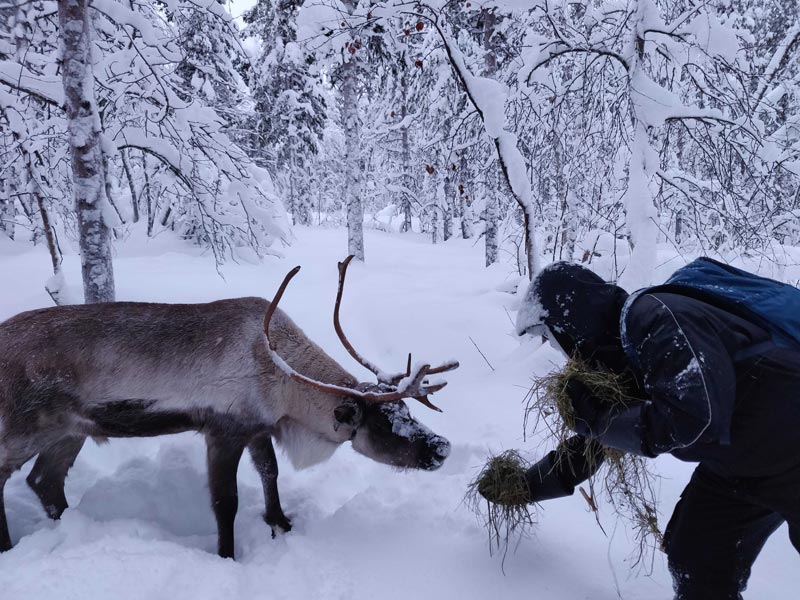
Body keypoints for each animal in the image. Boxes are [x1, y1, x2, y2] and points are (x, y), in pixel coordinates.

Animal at [0, 256, 458, 559]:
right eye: (384, 424)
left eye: (410, 414)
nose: (442, 448)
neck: (284, 382)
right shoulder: (222, 431)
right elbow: (226, 502)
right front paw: (226, 555)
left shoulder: (258, 428)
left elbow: (271, 473)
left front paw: (280, 523)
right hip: (23, 430)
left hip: (70, 431)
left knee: (44, 481)